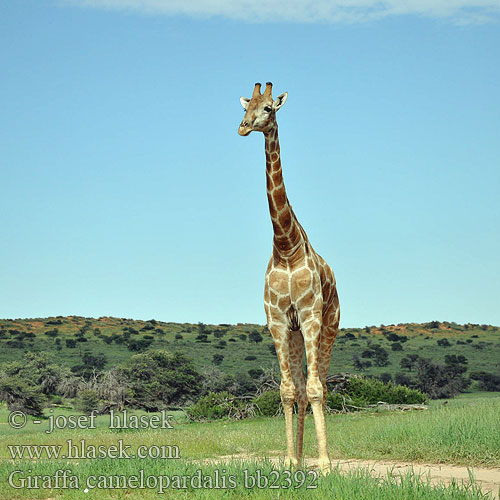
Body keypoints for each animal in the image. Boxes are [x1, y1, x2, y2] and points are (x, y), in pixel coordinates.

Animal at [238, 82, 340, 472]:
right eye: (245, 106)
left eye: (268, 108)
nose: (243, 127)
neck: (286, 244)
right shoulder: (279, 321)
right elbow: (287, 391)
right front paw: (290, 461)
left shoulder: (310, 316)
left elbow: (314, 389)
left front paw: (324, 464)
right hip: (297, 334)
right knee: (299, 388)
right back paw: (299, 456)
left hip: (329, 324)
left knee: (320, 383)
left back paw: (321, 458)